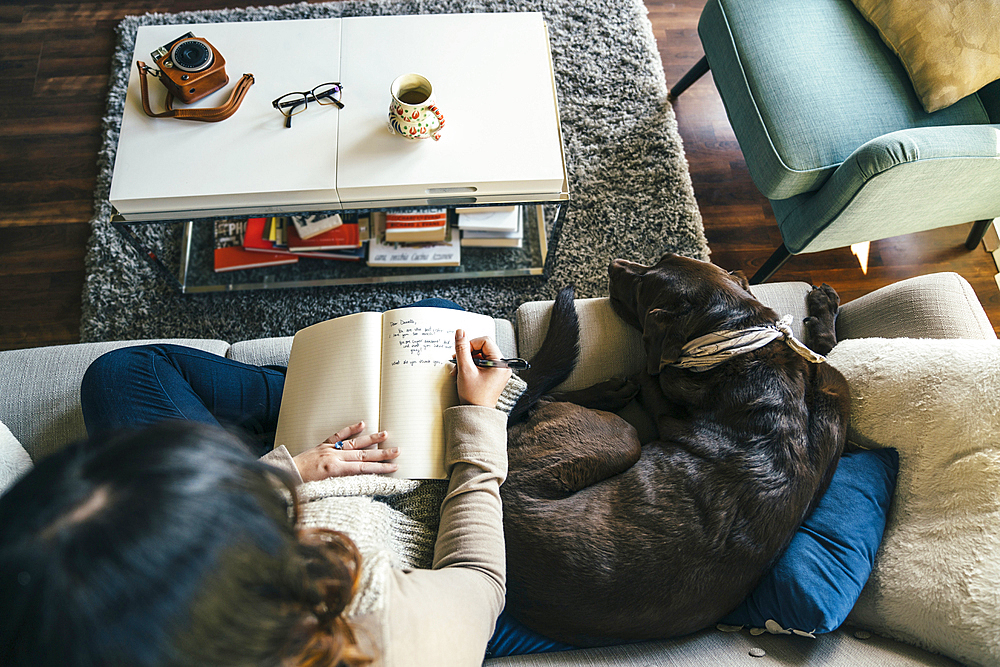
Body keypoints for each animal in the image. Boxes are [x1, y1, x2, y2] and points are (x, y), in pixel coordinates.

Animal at [504, 254, 848, 648]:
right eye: (662, 257)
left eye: (642, 286)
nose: (614, 263)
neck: (742, 345)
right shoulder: (836, 392)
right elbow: (827, 351)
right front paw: (824, 310)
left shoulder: (662, 394)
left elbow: (648, 374)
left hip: (622, 436)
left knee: (542, 396)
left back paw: (607, 392)